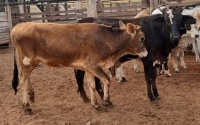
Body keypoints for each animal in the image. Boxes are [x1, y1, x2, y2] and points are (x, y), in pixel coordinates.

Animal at [11, 21, 148, 114]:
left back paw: (31, 95)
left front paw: (95, 104)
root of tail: (17, 27)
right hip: (27, 62)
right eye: (142, 38)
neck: (106, 40)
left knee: (25, 79)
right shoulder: (93, 66)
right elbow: (106, 80)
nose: (146, 53)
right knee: (22, 82)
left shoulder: (89, 68)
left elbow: (92, 85)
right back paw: (27, 106)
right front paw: (105, 101)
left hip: (28, 64)